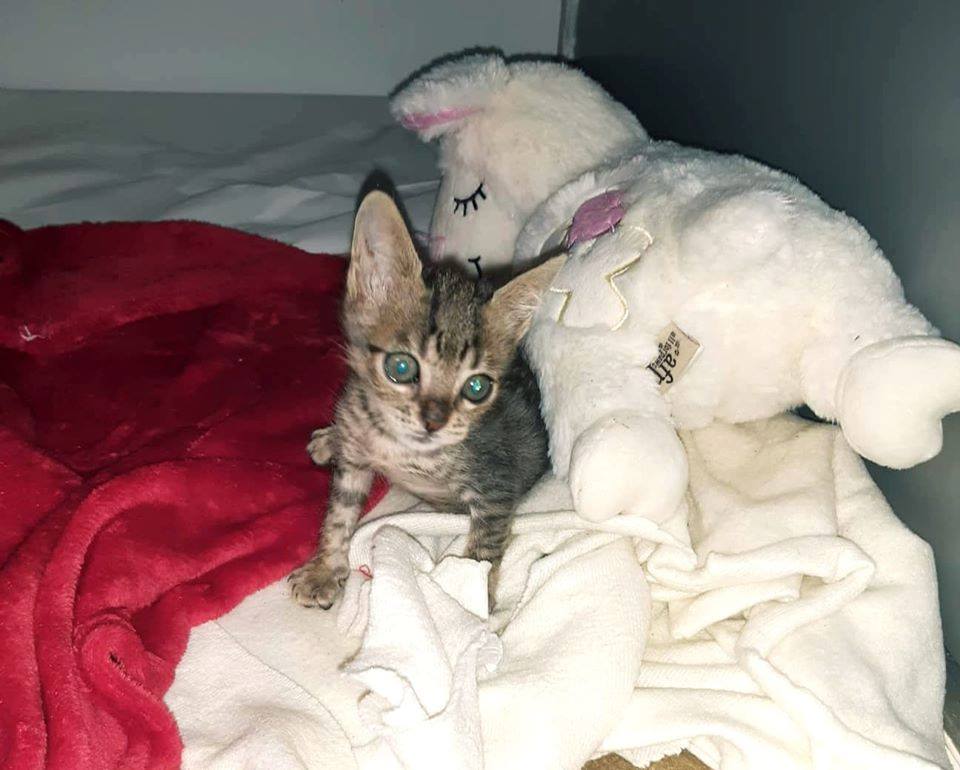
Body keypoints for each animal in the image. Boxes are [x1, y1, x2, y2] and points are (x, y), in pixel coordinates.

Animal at [289, 190, 563, 610]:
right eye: (401, 367)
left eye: (477, 387)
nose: (434, 420)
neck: (400, 447)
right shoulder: (354, 462)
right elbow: (339, 513)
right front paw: (324, 568)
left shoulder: (497, 480)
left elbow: (484, 550)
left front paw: (470, 606)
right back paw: (330, 438)